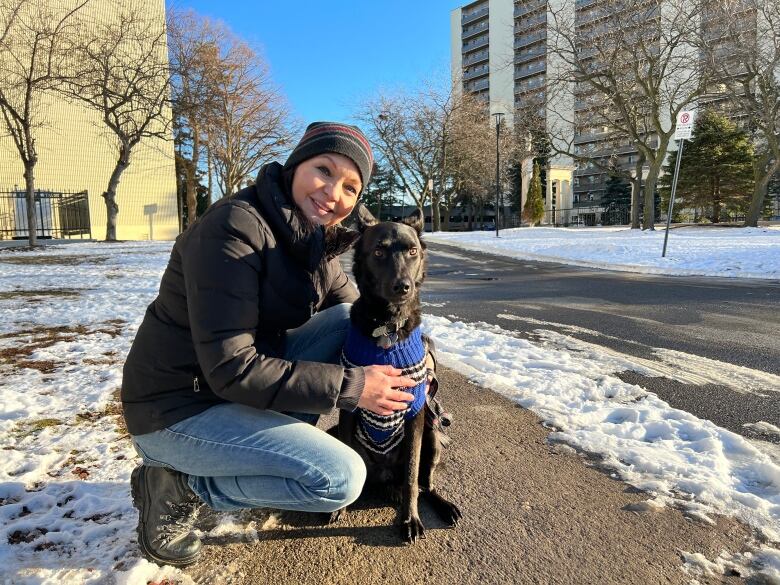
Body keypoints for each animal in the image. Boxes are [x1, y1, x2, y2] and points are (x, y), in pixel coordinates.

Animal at [330, 204, 464, 544]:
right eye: (378, 250)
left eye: (413, 251)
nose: (403, 286)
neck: (388, 327)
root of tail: (385, 475)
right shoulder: (348, 410)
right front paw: (342, 508)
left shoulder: (416, 413)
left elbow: (412, 477)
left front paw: (409, 520)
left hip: (432, 433)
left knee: (424, 484)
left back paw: (443, 506)